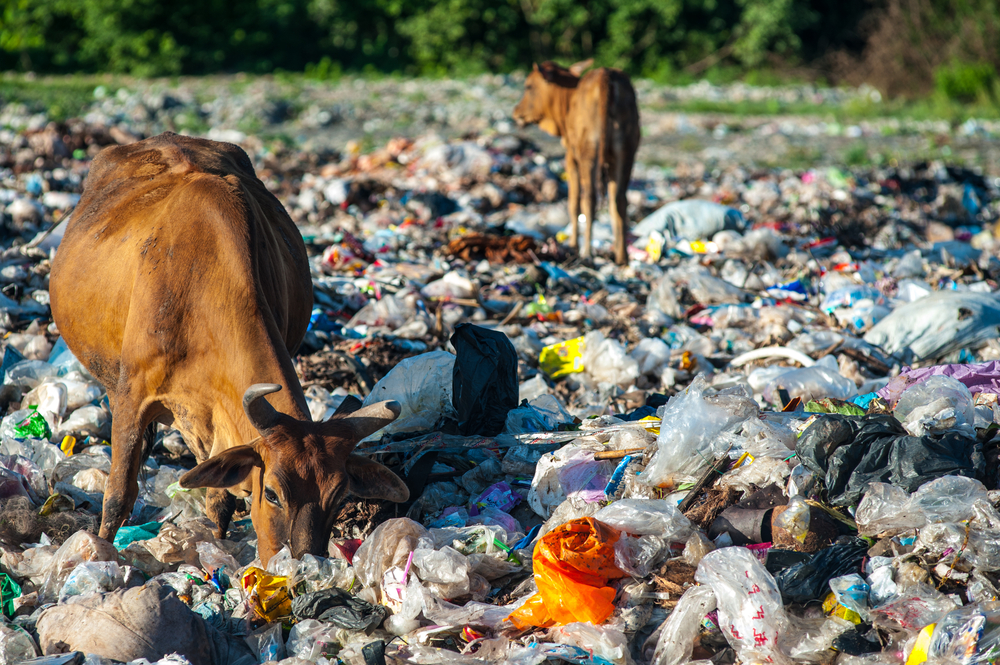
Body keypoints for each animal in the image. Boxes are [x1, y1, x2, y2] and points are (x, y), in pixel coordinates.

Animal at [49, 132, 410, 564]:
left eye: (339, 497)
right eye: (272, 493)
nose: (301, 563)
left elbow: (219, 502)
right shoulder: (132, 396)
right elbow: (118, 494)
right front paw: (102, 552)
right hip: (109, 380)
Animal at [512, 59, 644, 266]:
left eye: (528, 86)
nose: (516, 111)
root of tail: (606, 77)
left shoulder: (571, 157)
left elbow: (573, 202)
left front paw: (573, 243)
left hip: (589, 149)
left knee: (589, 198)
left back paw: (586, 252)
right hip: (627, 148)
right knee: (619, 199)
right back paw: (622, 256)